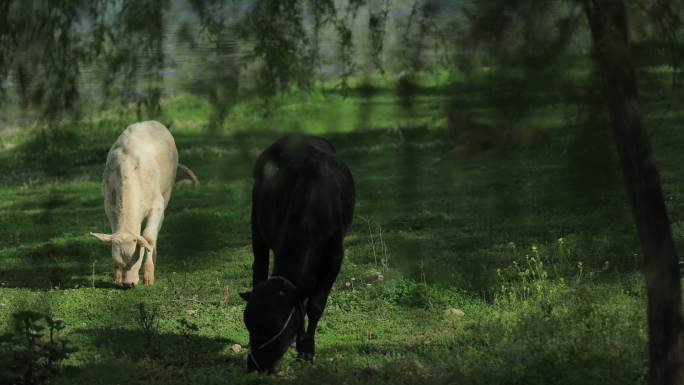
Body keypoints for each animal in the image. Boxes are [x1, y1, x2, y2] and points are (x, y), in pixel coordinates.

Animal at [90, 121, 198, 286]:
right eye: (116, 259)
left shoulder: (157, 204)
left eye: (137, 258)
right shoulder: (109, 207)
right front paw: (116, 276)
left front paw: (149, 275)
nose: (128, 284)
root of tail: (153, 122)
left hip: (167, 190)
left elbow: (148, 237)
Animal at [240, 136, 356, 372]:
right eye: (248, 324)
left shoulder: (335, 257)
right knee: (260, 266)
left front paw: (307, 349)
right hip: (256, 224)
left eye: (275, 325)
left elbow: (315, 304)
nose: (254, 365)